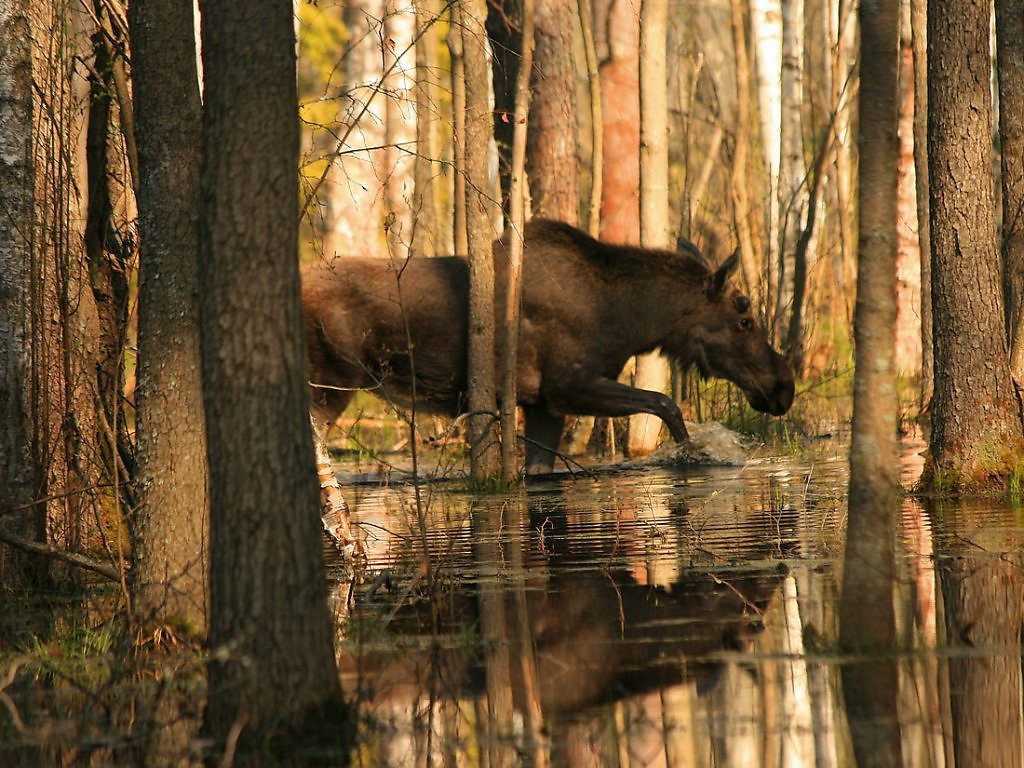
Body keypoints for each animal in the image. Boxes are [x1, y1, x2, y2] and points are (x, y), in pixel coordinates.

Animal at [299, 219, 794, 475]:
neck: (628, 321)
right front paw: (692, 453)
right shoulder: (568, 386)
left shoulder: (543, 405)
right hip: (329, 387)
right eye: (744, 318)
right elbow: (665, 403)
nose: (783, 387)